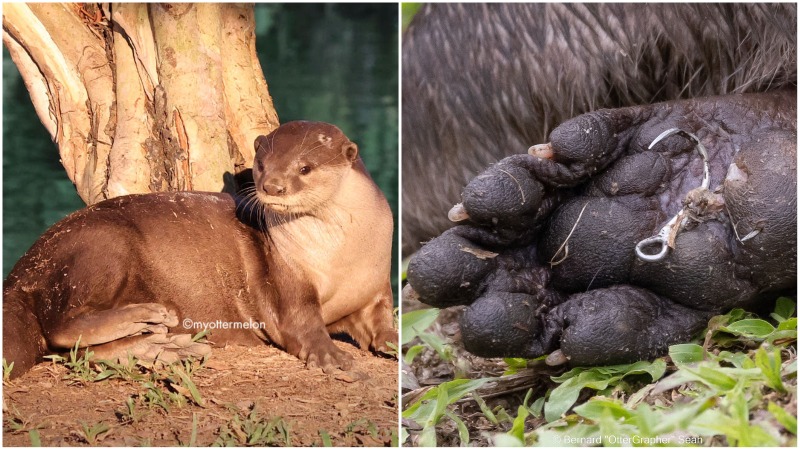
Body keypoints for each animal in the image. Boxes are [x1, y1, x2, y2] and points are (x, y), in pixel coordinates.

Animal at [2, 121, 396, 378]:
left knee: (81, 350)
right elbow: (301, 321)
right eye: (262, 165)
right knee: (62, 327)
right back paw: (150, 316)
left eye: (305, 168)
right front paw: (331, 356)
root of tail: (21, 273)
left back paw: (166, 347)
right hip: (101, 245)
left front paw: (392, 343)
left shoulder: (376, 285)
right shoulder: (287, 279)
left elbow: (382, 320)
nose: (272, 186)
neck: (341, 256)